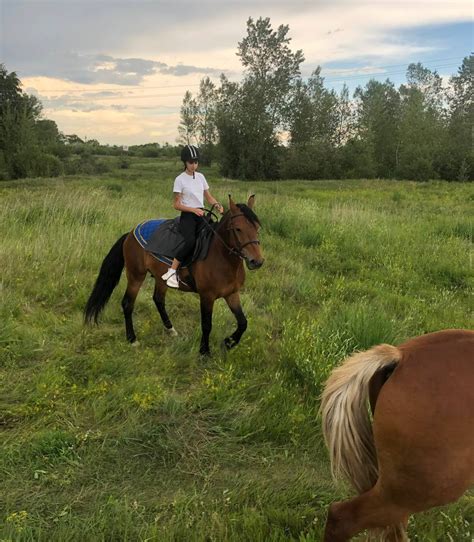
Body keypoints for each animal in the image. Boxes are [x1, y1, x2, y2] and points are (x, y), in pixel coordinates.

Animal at [85, 196, 262, 356]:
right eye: (238, 229)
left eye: (257, 227)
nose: (257, 262)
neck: (221, 257)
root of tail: (130, 233)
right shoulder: (207, 296)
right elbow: (206, 324)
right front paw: (204, 351)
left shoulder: (232, 294)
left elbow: (243, 322)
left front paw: (229, 342)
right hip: (136, 275)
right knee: (128, 303)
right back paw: (132, 339)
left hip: (159, 278)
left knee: (158, 300)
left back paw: (170, 329)